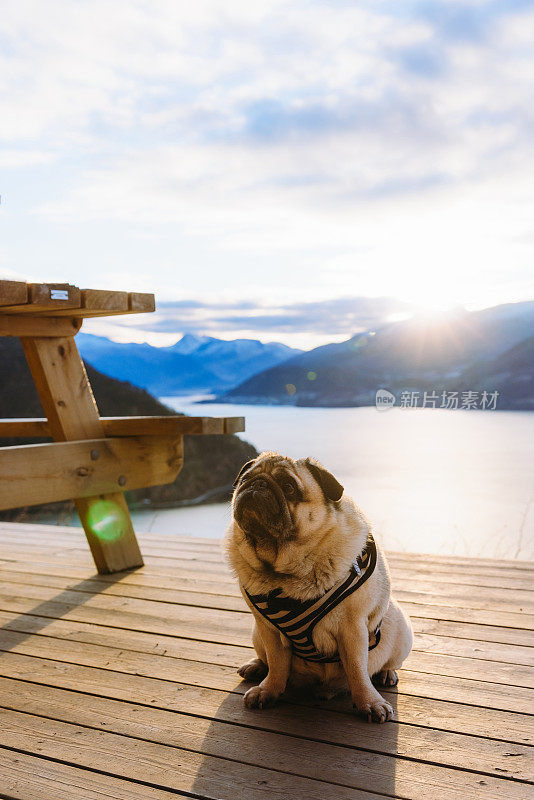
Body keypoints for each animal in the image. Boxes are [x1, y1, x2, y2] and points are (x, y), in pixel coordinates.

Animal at [225, 454, 414, 720]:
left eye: (288, 487)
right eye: (245, 480)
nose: (258, 484)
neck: (283, 572)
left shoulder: (352, 629)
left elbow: (357, 669)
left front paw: (369, 702)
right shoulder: (268, 630)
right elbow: (277, 663)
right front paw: (268, 690)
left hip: (399, 628)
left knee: (386, 662)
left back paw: (386, 673)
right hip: (256, 634)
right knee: (267, 659)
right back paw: (256, 666)